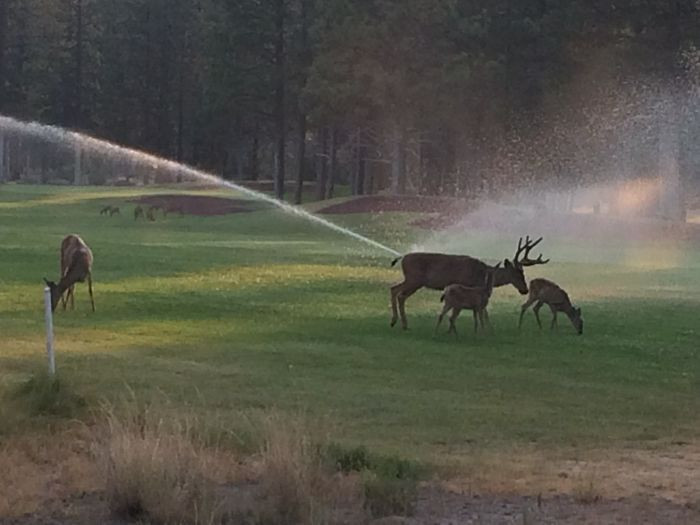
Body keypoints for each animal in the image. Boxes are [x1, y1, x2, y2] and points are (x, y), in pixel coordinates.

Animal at [388, 236, 548, 330]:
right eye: (517, 274)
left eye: (523, 274)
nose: (524, 290)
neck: (482, 273)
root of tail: (402, 257)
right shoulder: (469, 285)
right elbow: (483, 309)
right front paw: (488, 328)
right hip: (414, 279)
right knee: (399, 293)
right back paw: (402, 323)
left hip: (413, 280)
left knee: (394, 289)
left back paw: (396, 322)